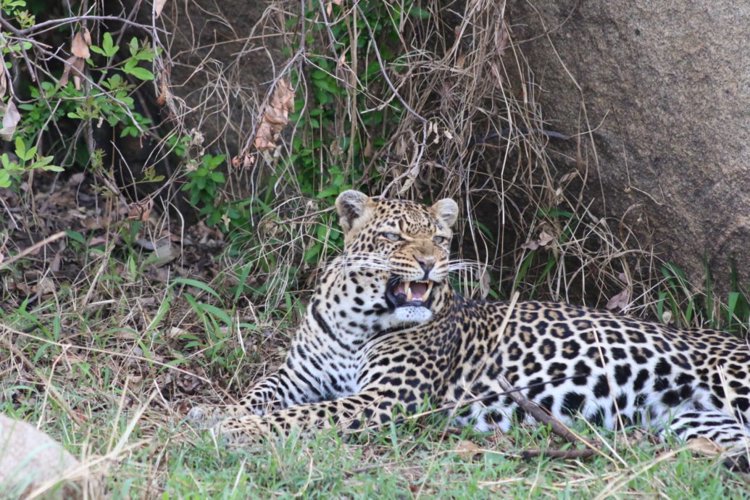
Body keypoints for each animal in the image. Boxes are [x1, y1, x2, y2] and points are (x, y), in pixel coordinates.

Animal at [192, 190, 750, 468]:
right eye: (394, 236)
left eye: (439, 238)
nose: (431, 262)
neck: (357, 317)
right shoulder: (299, 375)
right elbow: (261, 393)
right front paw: (217, 413)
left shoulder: (385, 399)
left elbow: (301, 417)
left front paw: (237, 429)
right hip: (694, 420)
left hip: (730, 381)